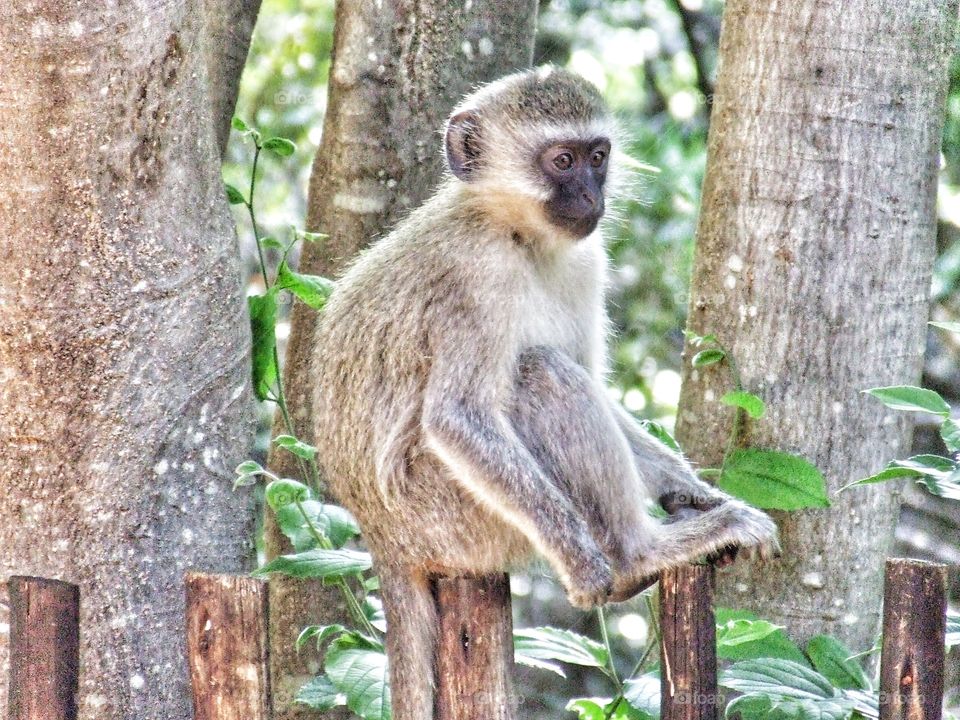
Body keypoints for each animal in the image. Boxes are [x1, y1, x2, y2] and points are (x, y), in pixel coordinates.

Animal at [311, 66, 778, 719]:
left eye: (597, 157)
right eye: (562, 161)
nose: (591, 198)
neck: (515, 232)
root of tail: (386, 539)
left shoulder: (587, 259)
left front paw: (694, 490)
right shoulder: (477, 276)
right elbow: (458, 419)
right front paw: (591, 563)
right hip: (454, 520)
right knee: (539, 374)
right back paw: (639, 554)